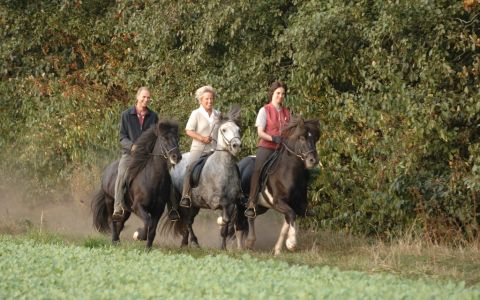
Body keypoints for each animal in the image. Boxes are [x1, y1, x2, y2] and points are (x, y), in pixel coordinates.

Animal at [91, 119, 181, 248]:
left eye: (177, 138)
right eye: (164, 138)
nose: (177, 157)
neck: (153, 179)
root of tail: (106, 171)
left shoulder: (158, 210)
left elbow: (152, 230)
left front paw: (148, 249)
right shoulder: (138, 206)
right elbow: (148, 222)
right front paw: (138, 235)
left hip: (126, 210)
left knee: (120, 223)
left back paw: (117, 241)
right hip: (110, 201)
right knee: (113, 221)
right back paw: (114, 241)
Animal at [163, 104, 242, 250]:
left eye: (238, 130)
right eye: (224, 129)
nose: (237, 146)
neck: (223, 170)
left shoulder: (231, 203)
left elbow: (226, 223)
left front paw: (223, 248)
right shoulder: (214, 201)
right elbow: (224, 218)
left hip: (195, 205)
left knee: (189, 220)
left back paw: (185, 242)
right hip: (182, 200)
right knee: (187, 220)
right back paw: (193, 242)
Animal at [235, 118, 318, 254]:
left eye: (315, 139)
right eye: (301, 138)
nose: (313, 160)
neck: (288, 172)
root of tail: (240, 164)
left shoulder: (296, 205)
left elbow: (287, 222)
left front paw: (278, 249)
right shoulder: (278, 202)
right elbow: (291, 215)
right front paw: (291, 243)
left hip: (260, 207)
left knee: (251, 217)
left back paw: (250, 242)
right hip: (238, 204)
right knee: (238, 225)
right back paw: (240, 248)